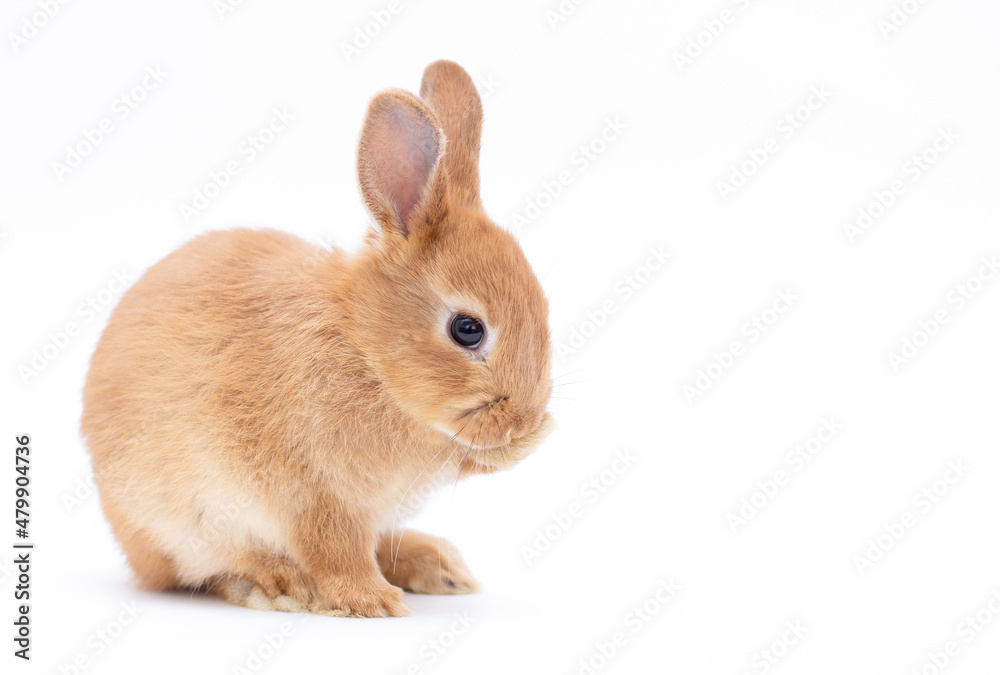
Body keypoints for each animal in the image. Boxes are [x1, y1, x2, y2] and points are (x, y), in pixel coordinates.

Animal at [82, 62, 556, 616]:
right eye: (468, 329)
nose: (524, 419)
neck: (368, 352)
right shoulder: (315, 495)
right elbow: (335, 551)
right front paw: (373, 602)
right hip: (176, 526)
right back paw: (279, 583)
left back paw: (439, 567)